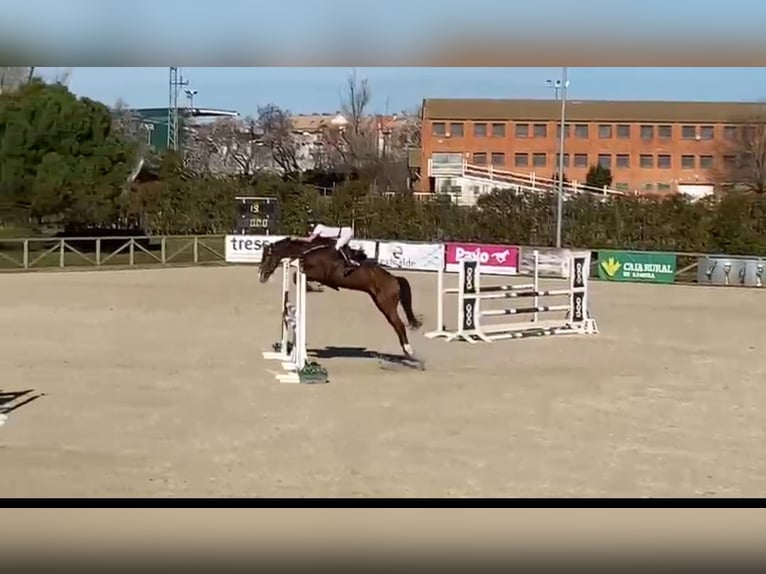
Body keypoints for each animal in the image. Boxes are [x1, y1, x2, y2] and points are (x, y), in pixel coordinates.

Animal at [260, 235, 426, 364]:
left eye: (267, 256)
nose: (261, 276)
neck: (310, 250)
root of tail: (395, 279)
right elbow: (297, 274)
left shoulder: (319, 273)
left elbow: (297, 275)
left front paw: (311, 288)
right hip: (379, 302)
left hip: (386, 304)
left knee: (399, 325)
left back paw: (409, 351)